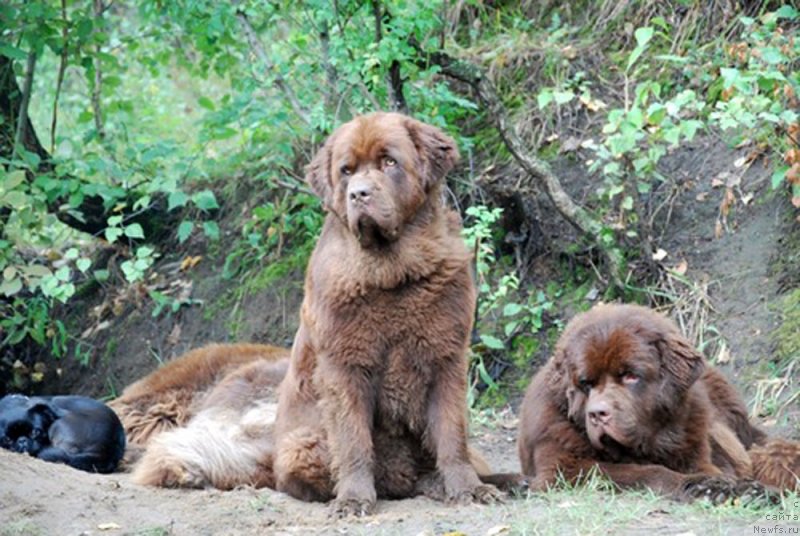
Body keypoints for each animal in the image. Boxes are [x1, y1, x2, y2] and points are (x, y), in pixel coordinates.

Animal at [276, 112, 500, 516]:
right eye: (346, 171)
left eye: (389, 162)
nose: (358, 194)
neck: (392, 274)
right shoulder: (343, 364)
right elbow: (352, 438)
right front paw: (353, 499)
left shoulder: (446, 357)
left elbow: (451, 432)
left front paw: (469, 489)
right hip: (301, 444)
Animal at [516, 304, 796, 500]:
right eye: (586, 383)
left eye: (630, 376)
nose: (597, 413)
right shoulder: (564, 467)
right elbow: (645, 471)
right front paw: (699, 486)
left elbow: (715, 469)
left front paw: (745, 488)